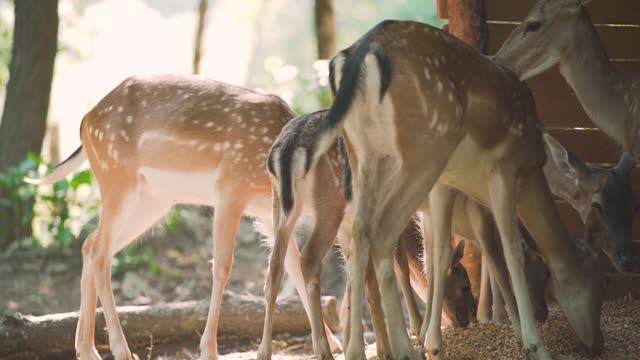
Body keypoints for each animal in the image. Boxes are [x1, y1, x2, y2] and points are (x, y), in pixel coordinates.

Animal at [23, 74, 344, 360]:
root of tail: (85, 122)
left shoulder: (268, 211)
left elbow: (291, 266)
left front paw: (332, 343)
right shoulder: (229, 190)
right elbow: (222, 267)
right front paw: (208, 350)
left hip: (153, 200)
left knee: (89, 244)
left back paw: (87, 349)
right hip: (116, 177)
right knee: (100, 250)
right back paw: (121, 350)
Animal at [255, 109, 476, 360]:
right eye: (465, 285)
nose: (470, 317)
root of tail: (289, 147)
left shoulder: (350, 228)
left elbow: (358, 276)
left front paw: (366, 344)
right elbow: (398, 270)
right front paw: (409, 336)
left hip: (281, 206)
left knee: (274, 267)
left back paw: (264, 352)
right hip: (330, 204)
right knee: (309, 259)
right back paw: (323, 351)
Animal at [312, 20, 604, 360]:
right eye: (597, 283)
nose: (598, 344)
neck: (532, 168)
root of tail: (361, 52)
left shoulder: (446, 186)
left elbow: (440, 256)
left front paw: (436, 341)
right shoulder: (502, 170)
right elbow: (509, 253)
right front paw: (532, 344)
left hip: (363, 155)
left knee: (361, 232)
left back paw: (359, 350)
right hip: (423, 150)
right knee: (382, 232)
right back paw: (404, 349)